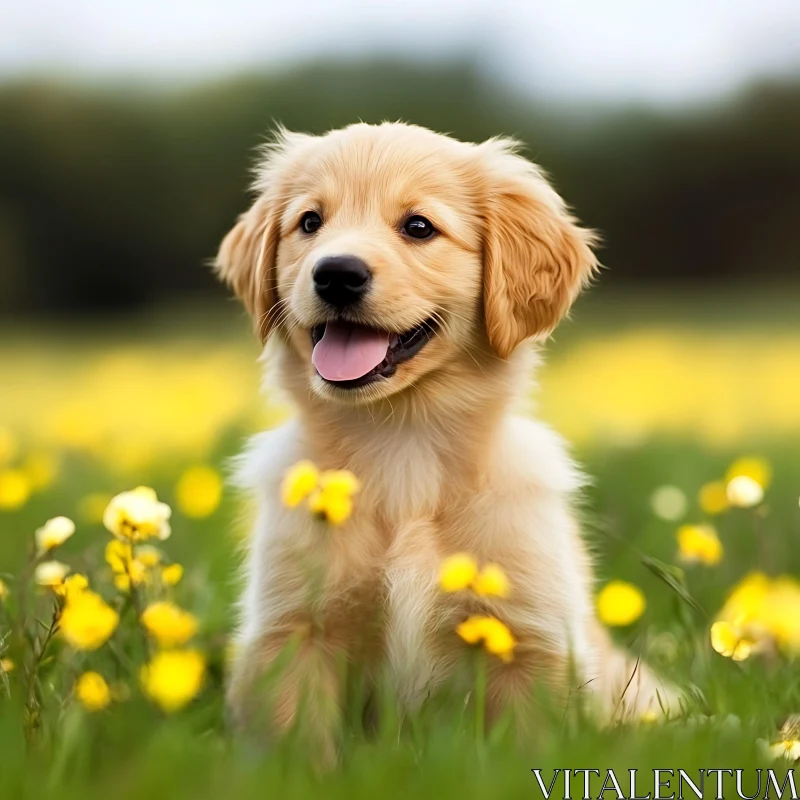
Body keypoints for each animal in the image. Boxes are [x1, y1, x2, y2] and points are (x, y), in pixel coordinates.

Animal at [217, 120, 676, 756]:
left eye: (418, 226)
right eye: (310, 222)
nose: (335, 273)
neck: (403, 442)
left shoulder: (529, 640)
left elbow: (527, 746)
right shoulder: (295, 630)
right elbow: (301, 746)